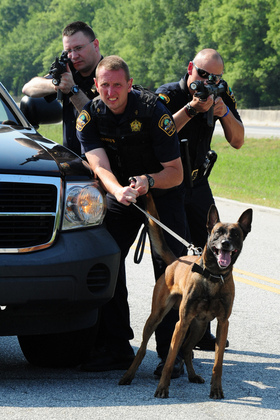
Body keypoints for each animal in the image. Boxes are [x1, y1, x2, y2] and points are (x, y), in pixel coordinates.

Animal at [119, 193, 253, 398]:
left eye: (235, 234)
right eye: (217, 233)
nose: (225, 244)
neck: (213, 277)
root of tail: (176, 260)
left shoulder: (223, 324)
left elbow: (218, 363)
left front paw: (216, 389)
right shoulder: (181, 323)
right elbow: (170, 358)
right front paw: (162, 388)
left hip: (199, 326)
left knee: (187, 349)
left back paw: (192, 375)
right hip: (156, 317)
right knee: (143, 349)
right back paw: (128, 375)